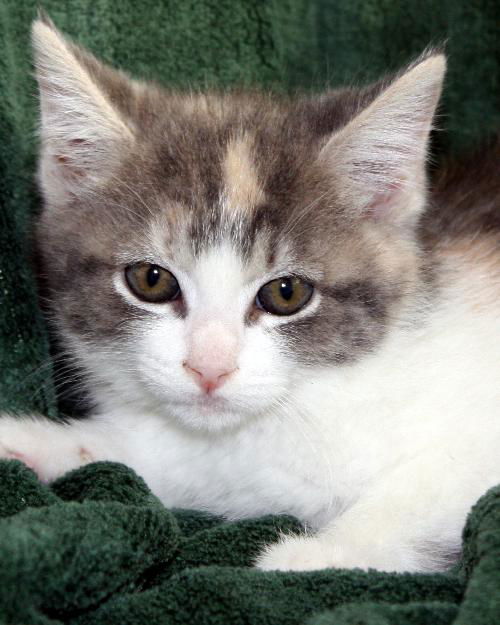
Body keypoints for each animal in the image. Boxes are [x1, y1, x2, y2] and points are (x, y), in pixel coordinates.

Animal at [0, 17, 500, 572]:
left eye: (287, 292)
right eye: (151, 280)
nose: (209, 369)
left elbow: (428, 486)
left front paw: (308, 558)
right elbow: (141, 455)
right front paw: (30, 440)